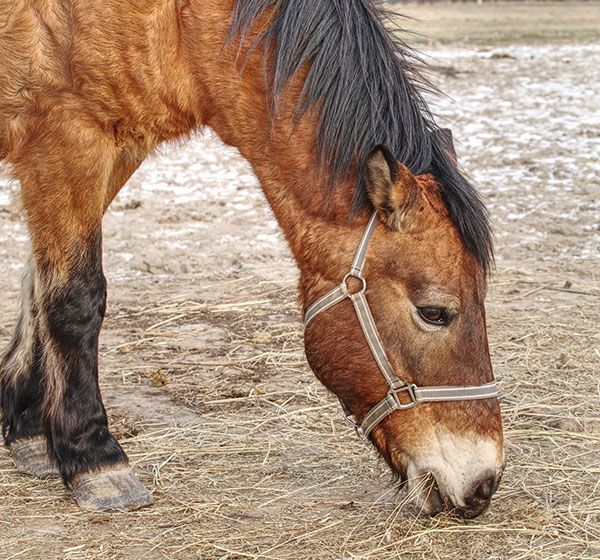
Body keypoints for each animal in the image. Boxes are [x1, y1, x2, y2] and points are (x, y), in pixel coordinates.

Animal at [0, 0, 504, 516]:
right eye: (434, 312)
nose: (484, 485)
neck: (181, 27)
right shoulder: (67, 143)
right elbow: (75, 297)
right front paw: (94, 457)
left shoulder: (115, 149)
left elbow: (36, 286)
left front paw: (30, 434)